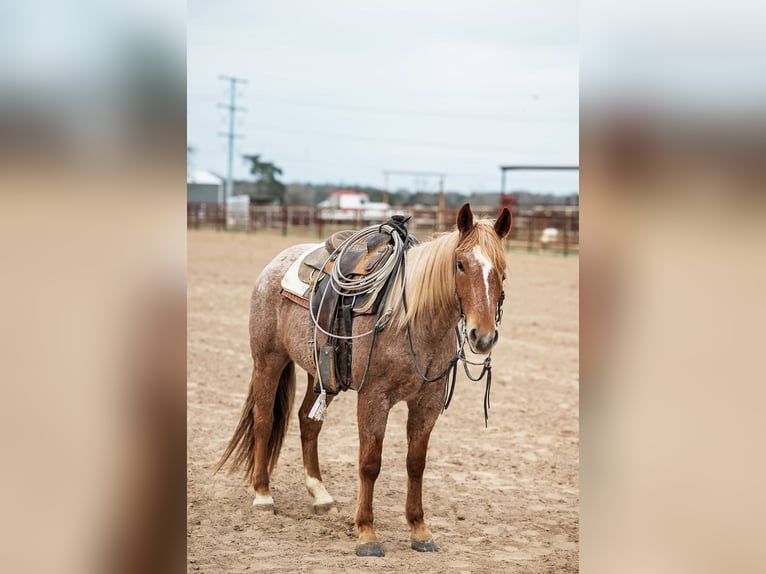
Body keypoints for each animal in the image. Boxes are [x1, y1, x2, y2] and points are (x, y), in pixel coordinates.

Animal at [215, 203, 512, 557]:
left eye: (503, 270)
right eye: (461, 264)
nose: (483, 336)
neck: (412, 320)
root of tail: (277, 262)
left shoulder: (427, 401)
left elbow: (416, 462)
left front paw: (420, 531)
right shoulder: (373, 397)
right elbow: (370, 463)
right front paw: (367, 534)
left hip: (323, 374)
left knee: (308, 422)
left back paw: (321, 495)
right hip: (268, 360)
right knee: (263, 420)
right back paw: (263, 496)